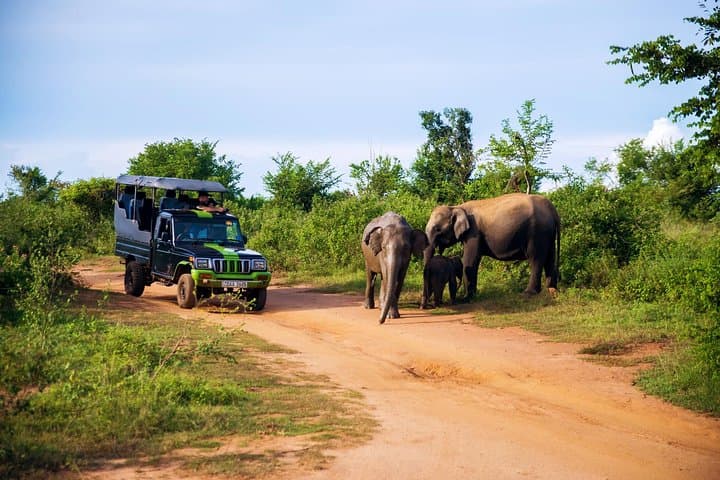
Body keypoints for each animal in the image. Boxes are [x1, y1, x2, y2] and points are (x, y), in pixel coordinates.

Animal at [423, 193, 560, 302]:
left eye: (438, 229)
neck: (456, 207)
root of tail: (552, 209)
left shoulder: (474, 232)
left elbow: (469, 260)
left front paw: (466, 299)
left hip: (537, 232)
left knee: (536, 259)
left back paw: (528, 294)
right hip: (548, 234)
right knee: (550, 258)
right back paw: (551, 291)